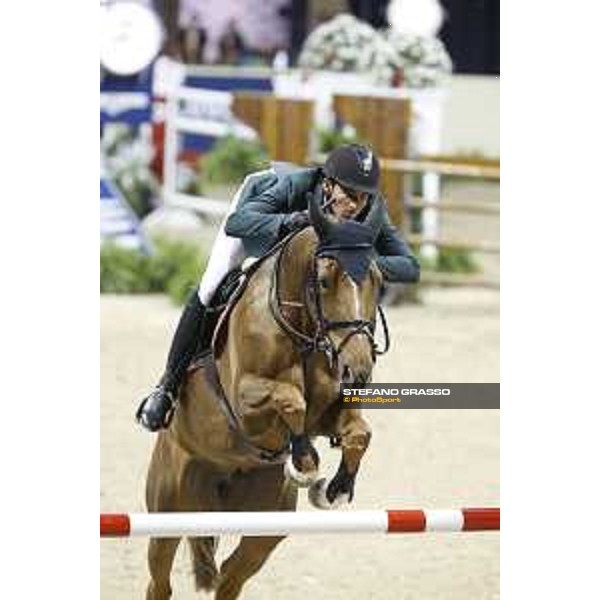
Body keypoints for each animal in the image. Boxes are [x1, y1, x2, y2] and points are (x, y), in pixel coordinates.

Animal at [146, 193, 390, 600]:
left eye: (379, 280)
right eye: (324, 281)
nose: (358, 371)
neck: (303, 330)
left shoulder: (331, 414)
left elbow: (359, 433)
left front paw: (337, 488)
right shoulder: (245, 404)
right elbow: (291, 398)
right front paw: (303, 459)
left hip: (265, 527)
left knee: (230, 576)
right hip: (167, 511)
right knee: (159, 582)